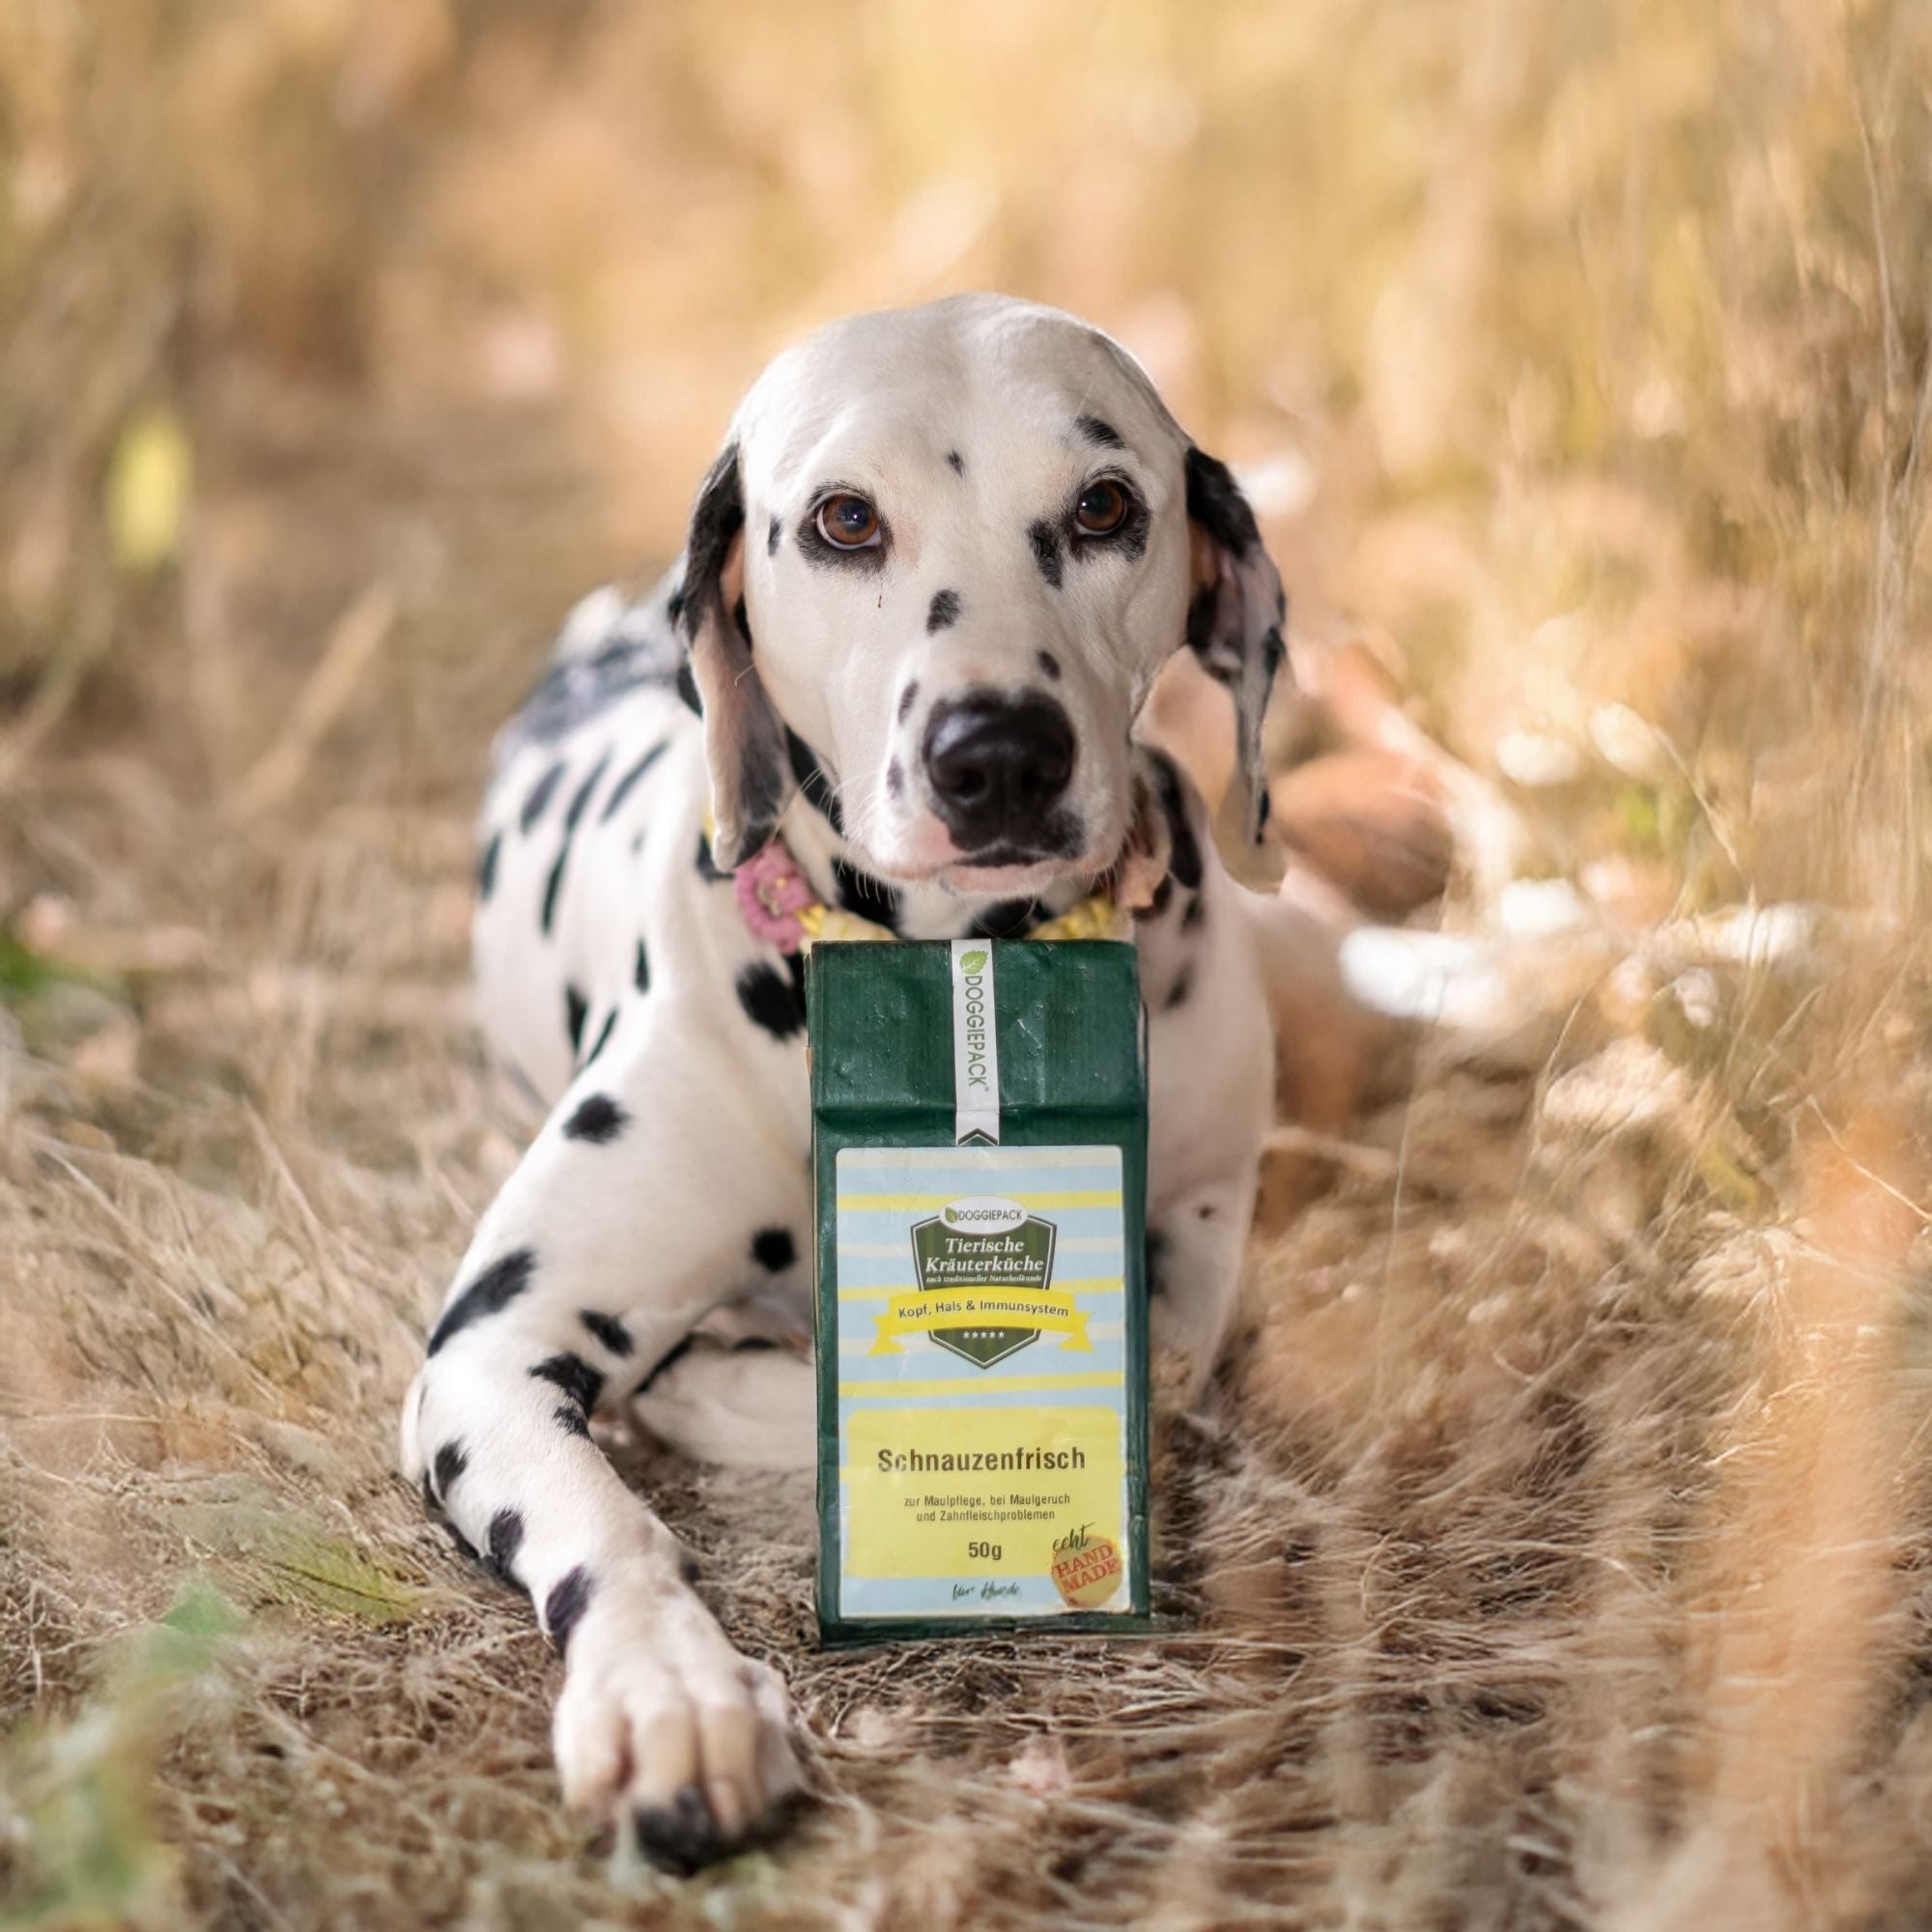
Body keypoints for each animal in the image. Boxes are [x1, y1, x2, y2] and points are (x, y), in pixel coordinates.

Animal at [398, 293, 1288, 1871]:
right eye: (844, 520)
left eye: (1105, 505)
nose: (995, 754)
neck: (951, 969)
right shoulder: (487, 1352)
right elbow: (607, 1517)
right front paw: (668, 1691)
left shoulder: (1188, 1259)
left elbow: (1144, 1377)